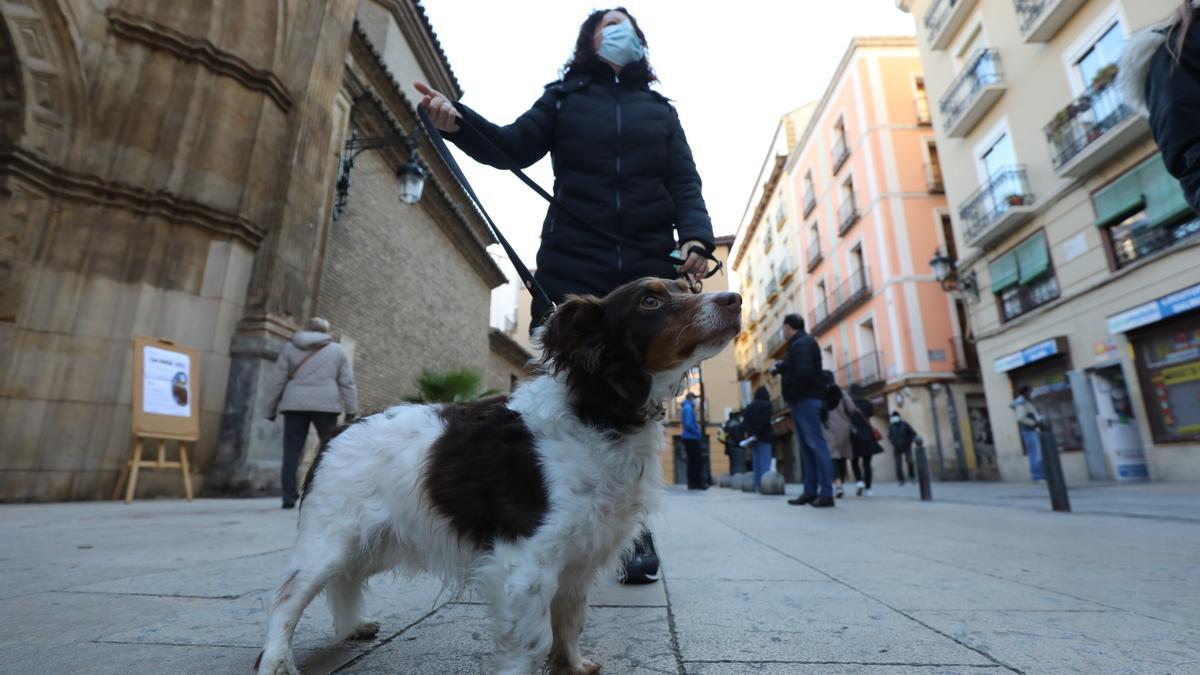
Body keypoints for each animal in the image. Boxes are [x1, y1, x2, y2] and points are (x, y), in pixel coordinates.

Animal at [255, 276, 739, 667]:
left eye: (686, 286)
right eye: (650, 302)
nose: (733, 299)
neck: (598, 413)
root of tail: (341, 428)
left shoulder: (578, 559)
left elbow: (570, 623)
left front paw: (573, 666)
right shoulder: (525, 561)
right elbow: (533, 642)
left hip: (376, 542)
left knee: (345, 582)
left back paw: (352, 626)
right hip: (330, 541)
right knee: (286, 597)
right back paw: (277, 660)